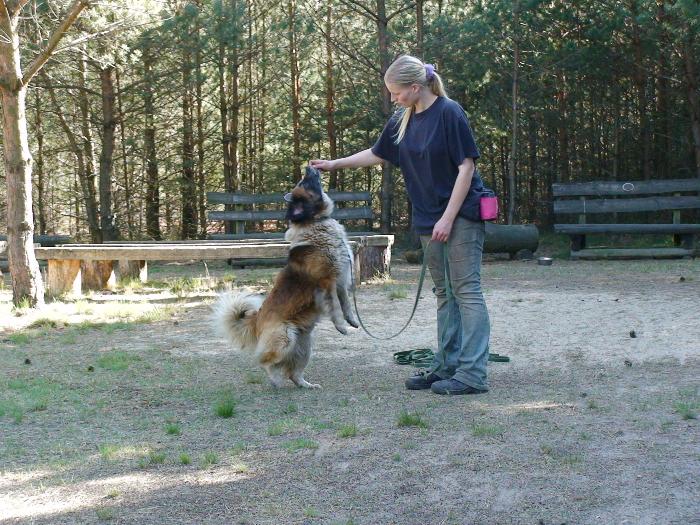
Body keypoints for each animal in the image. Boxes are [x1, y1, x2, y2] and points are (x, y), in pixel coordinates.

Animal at [215, 166, 358, 386]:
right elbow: (335, 306)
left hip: (305, 345)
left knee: (293, 372)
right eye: (304, 183)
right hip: (285, 337)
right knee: (265, 362)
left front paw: (352, 321)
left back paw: (306, 385)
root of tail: (256, 320)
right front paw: (341, 326)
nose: (309, 166)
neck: (315, 222)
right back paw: (275, 380)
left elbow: (346, 303)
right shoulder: (328, 282)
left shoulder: (341, 281)